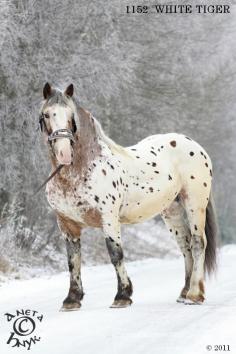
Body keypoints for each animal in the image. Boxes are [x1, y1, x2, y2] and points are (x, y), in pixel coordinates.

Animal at [38, 82, 218, 310]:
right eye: (46, 114)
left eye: (71, 116)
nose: (64, 154)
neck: (82, 169)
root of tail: (194, 145)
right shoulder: (67, 224)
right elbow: (73, 261)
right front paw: (72, 299)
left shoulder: (109, 218)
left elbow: (115, 253)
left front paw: (122, 296)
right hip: (172, 211)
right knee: (185, 246)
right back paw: (184, 293)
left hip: (195, 203)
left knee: (197, 243)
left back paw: (194, 295)